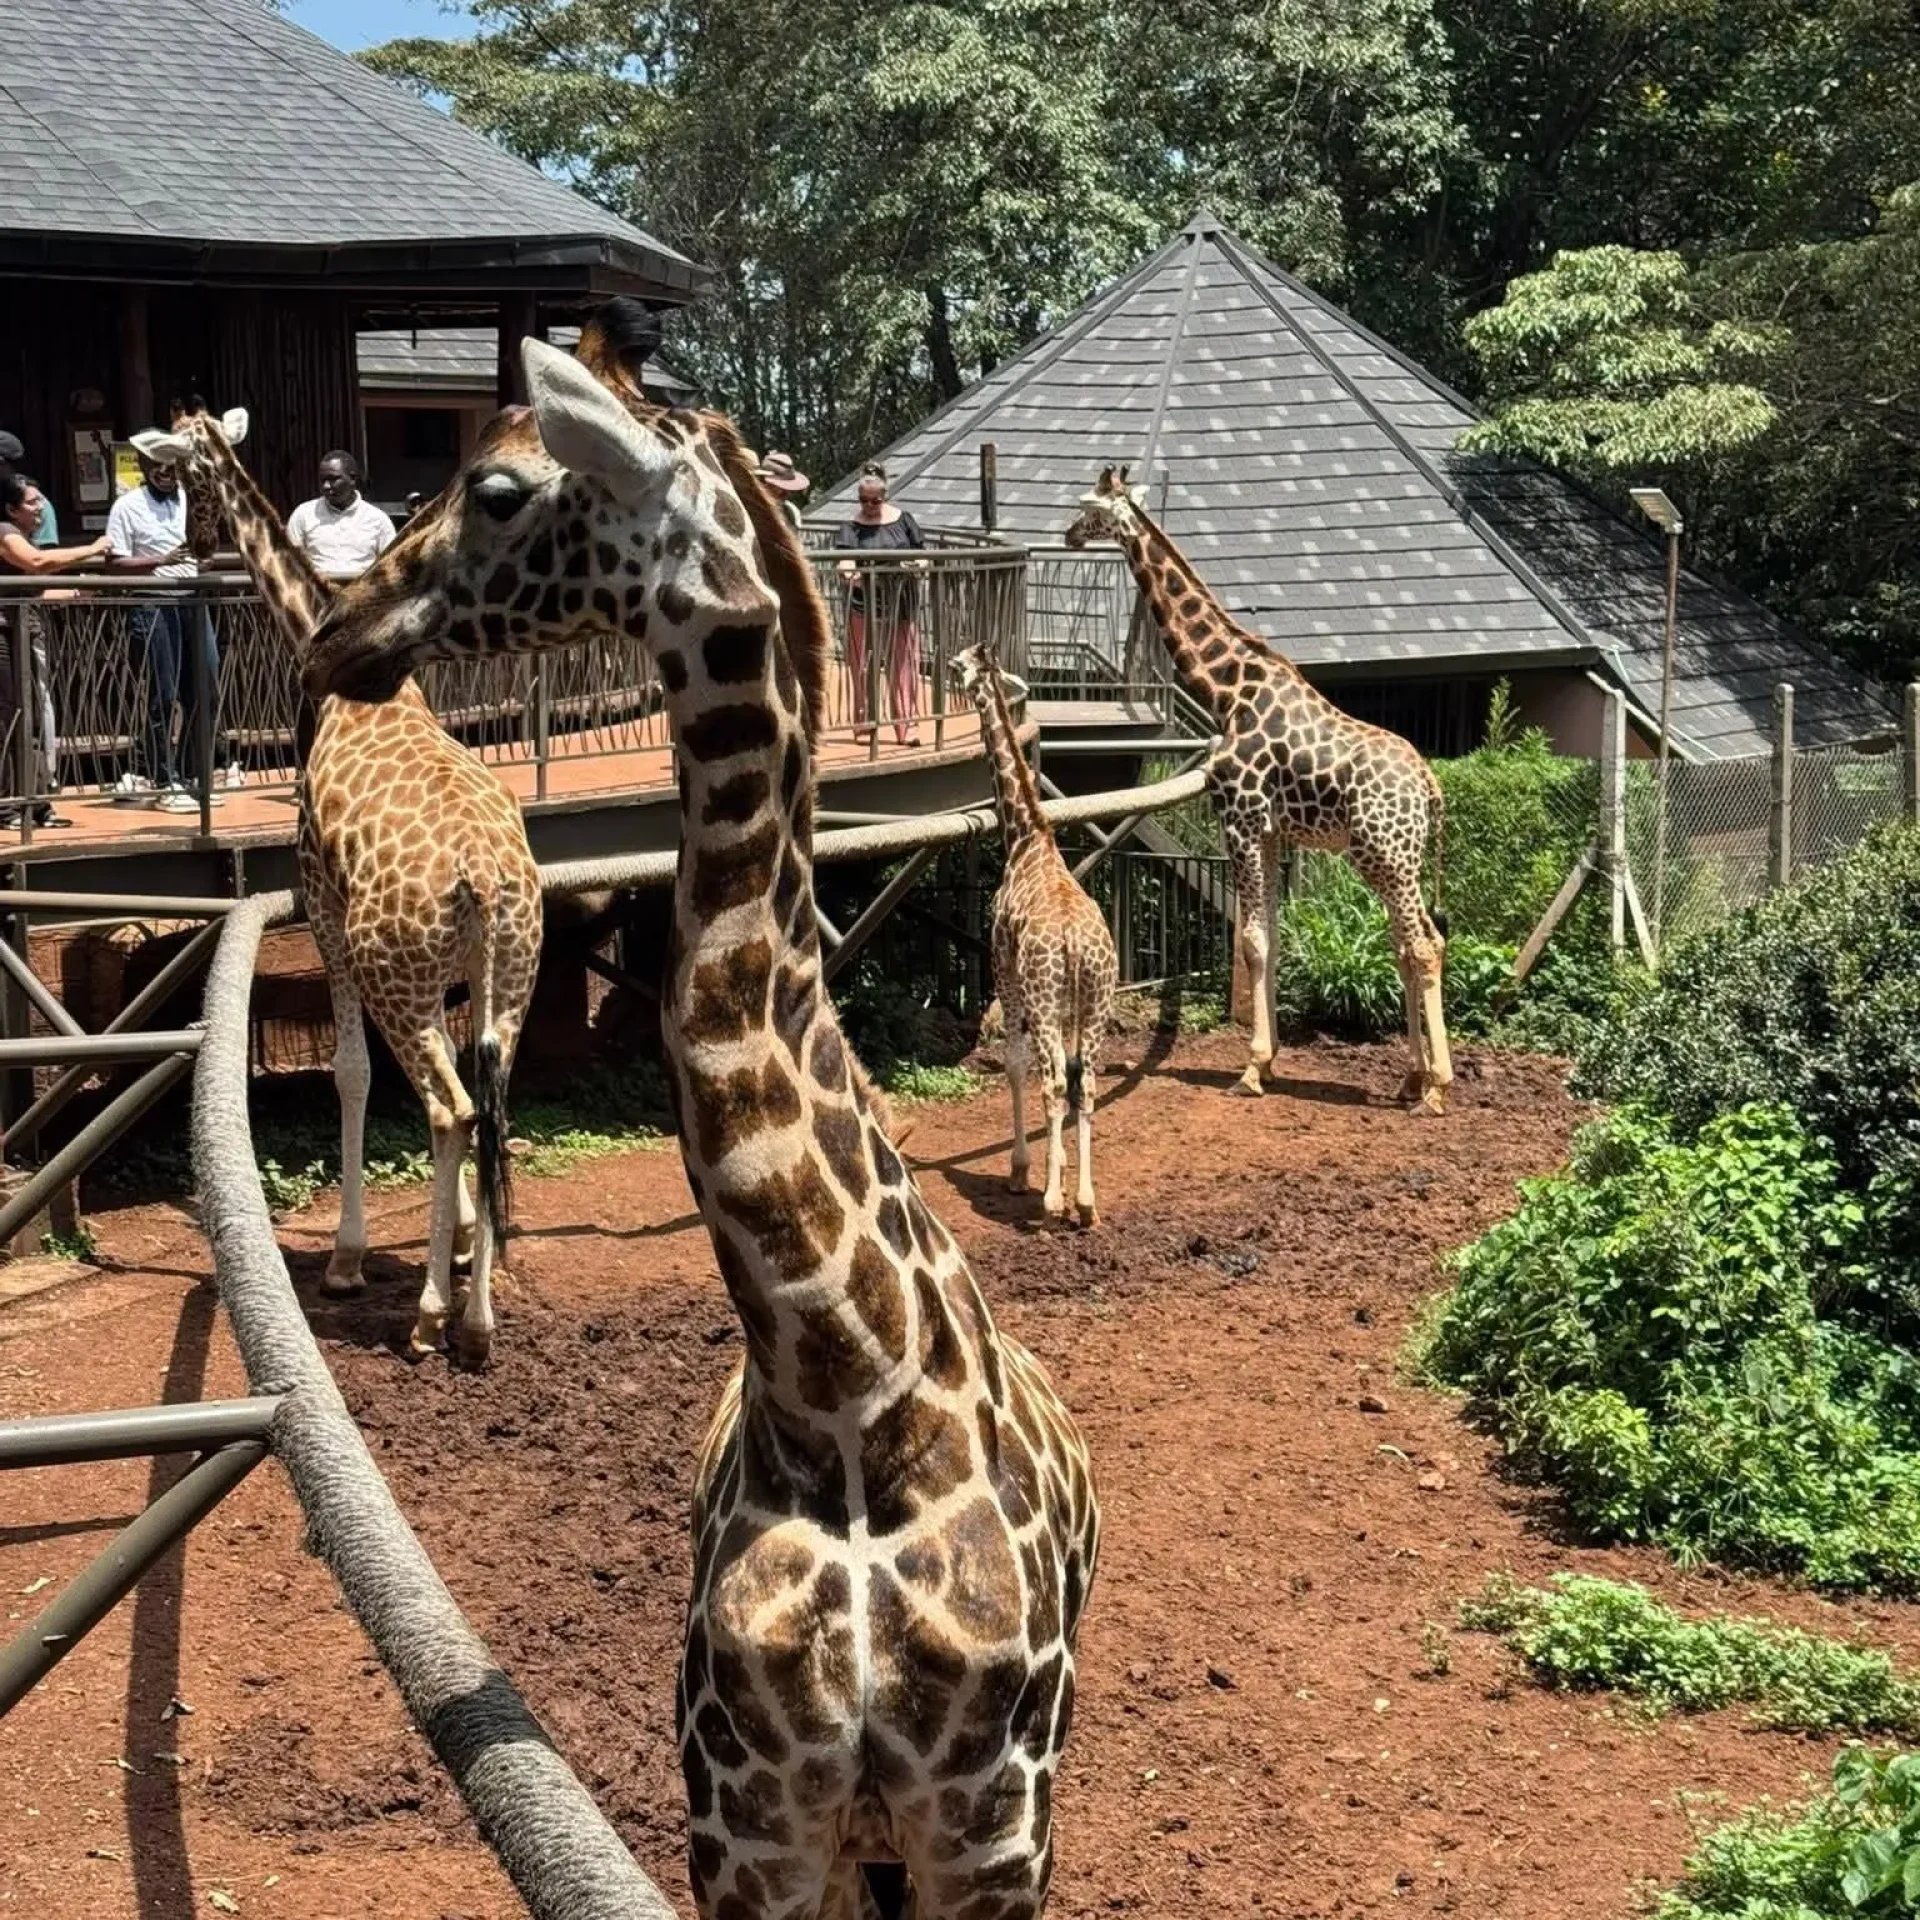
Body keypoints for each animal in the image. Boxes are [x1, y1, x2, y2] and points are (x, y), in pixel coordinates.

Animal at [130, 407, 541, 1366]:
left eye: (180, 475)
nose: (192, 544)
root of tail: (485, 878)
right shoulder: (453, 982)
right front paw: (460, 1241)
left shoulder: (321, 911)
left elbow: (349, 1075)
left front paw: (351, 1260)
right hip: (510, 977)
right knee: (492, 1105)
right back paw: (478, 1315)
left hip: (395, 975)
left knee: (450, 1110)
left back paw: (434, 1319)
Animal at [951, 643, 1117, 1228]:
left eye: (960, 666)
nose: (949, 673)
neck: (1026, 836)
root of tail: (1074, 943)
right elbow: (1070, 1076)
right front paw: (1059, 1168)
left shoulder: (1004, 972)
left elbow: (1014, 1065)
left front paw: (1025, 1171)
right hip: (1096, 999)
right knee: (1085, 1082)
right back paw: (1085, 1202)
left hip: (1043, 997)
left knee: (1051, 1079)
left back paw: (1049, 1202)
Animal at [1065, 464, 1452, 1112]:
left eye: (1088, 506)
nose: (1068, 535)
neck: (1226, 689)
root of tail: (1429, 786)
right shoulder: (1270, 832)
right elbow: (1268, 933)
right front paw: (1267, 1062)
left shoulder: (1240, 820)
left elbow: (1249, 940)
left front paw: (1251, 1068)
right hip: (1400, 857)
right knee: (1414, 943)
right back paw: (1411, 1078)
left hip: (1383, 854)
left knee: (1421, 945)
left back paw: (1439, 1087)